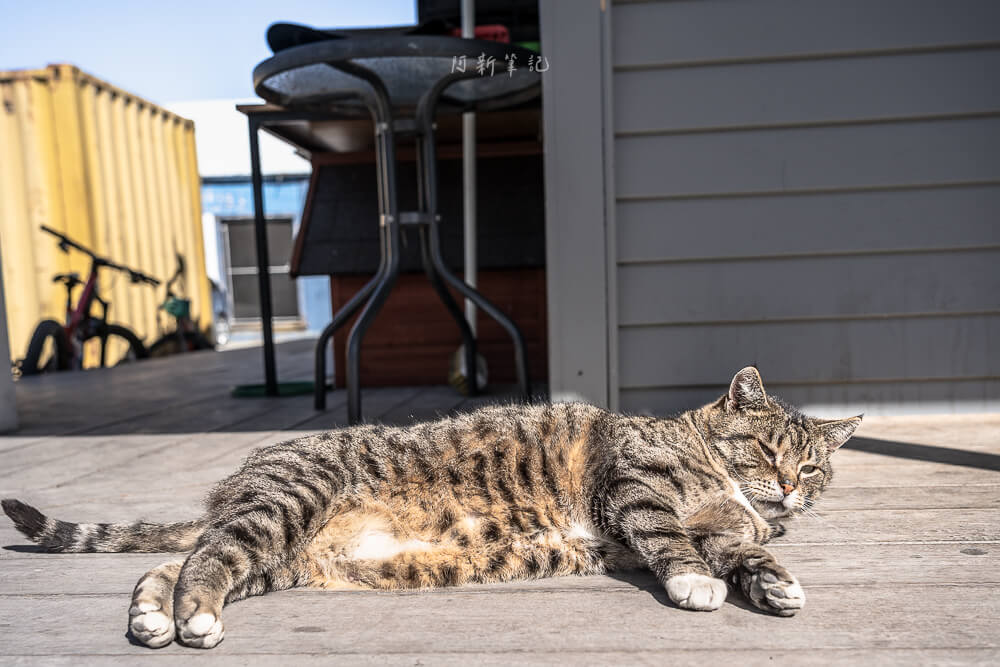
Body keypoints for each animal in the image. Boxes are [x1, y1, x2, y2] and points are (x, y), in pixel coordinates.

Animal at [1, 368, 860, 648]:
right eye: (767, 451)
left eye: (811, 465)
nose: (790, 486)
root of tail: (234, 479)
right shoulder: (635, 487)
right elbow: (671, 539)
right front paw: (695, 583)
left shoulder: (728, 527)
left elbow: (747, 550)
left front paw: (773, 581)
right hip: (281, 506)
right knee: (206, 557)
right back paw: (194, 620)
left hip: (278, 557)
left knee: (173, 561)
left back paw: (156, 615)